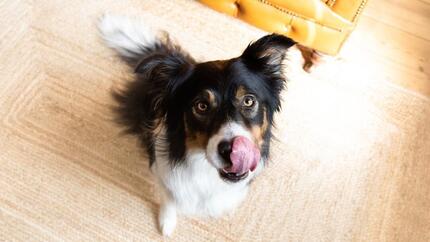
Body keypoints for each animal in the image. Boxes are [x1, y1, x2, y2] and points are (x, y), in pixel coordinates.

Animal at [99, 14, 296, 236]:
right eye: (201, 106)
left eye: (248, 101)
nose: (231, 151)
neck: (207, 169)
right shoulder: (163, 171)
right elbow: (169, 198)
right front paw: (166, 223)